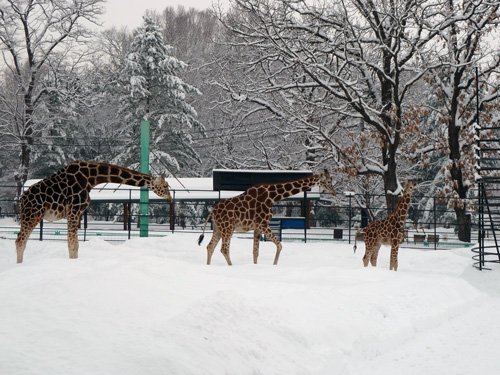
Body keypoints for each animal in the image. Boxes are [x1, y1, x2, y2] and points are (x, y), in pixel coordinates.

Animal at [15, 160, 173, 262]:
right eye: (165, 186)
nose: (170, 199)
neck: (92, 178)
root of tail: (22, 199)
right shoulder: (74, 210)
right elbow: (72, 244)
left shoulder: (77, 213)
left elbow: (76, 245)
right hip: (32, 215)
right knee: (20, 241)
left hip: (31, 216)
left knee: (21, 240)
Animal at [198, 170, 336, 268]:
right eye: (328, 182)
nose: (334, 192)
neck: (272, 196)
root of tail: (212, 212)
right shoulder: (263, 224)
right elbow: (279, 245)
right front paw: (274, 265)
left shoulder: (257, 227)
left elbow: (255, 251)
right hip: (228, 228)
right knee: (224, 249)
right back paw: (232, 267)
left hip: (218, 228)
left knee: (210, 247)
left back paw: (208, 266)